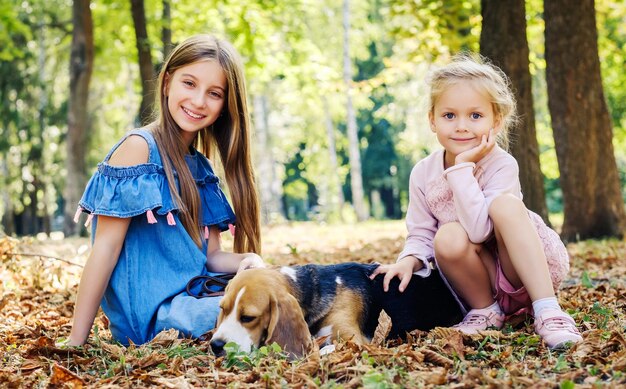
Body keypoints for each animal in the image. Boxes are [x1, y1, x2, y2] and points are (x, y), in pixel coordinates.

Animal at [210, 260, 464, 358]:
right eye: (222, 309)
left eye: (248, 317)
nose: (215, 345)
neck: (316, 288)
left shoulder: (355, 339)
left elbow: (326, 349)